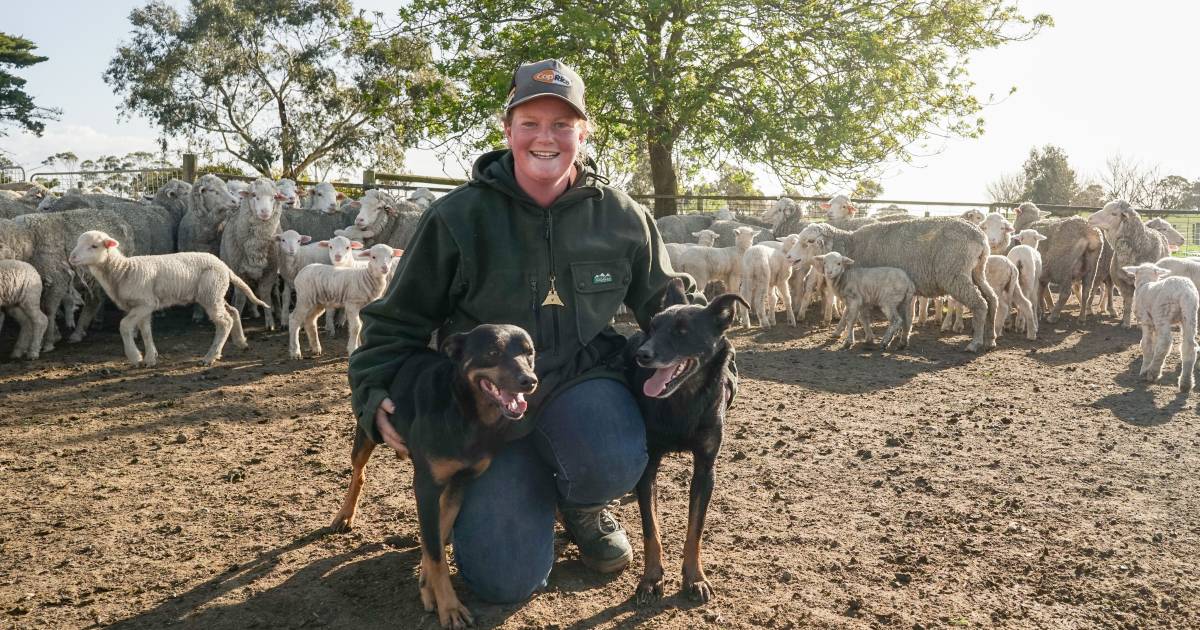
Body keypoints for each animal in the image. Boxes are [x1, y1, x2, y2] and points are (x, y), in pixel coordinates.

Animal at [69, 229, 271, 369]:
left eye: (94, 246)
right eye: (77, 242)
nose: (72, 257)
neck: (122, 271)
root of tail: (224, 266)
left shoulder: (146, 303)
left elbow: (124, 326)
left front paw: (135, 357)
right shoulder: (143, 307)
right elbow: (146, 331)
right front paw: (150, 359)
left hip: (211, 293)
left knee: (224, 322)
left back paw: (210, 357)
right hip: (214, 293)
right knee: (233, 311)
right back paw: (241, 342)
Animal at [220, 174, 285, 326]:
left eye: (274, 196)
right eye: (254, 195)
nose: (265, 212)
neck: (256, 247)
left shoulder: (270, 271)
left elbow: (266, 295)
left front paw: (270, 322)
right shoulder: (238, 271)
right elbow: (241, 297)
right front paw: (237, 318)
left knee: (274, 292)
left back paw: (278, 314)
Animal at [782, 217, 998, 350]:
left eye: (809, 241)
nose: (789, 257)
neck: (850, 244)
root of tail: (980, 236)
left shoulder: (859, 289)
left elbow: (858, 316)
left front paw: (857, 337)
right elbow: (905, 317)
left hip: (954, 274)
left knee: (980, 304)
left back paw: (975, 343)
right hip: (977, 271)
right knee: (992, 299)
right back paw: (991, 339)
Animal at [1089, 200, 1171, 328]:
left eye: (1114, 213)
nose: (1090, 219)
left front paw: (1139, 323)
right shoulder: (1122, 281)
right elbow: (1127, 303)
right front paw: (1126, 323)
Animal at [1118, 262, 1195, 391]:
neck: (1145, 284)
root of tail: (1183, 290)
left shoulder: (1146, 321)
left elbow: (1146, 344)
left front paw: (1144, 368)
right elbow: (1154, 344)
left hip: (1162, 313)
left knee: (1165, 342)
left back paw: (1152, 372)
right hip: (1189, 314)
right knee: (1189, 346)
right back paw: (1186, 383)